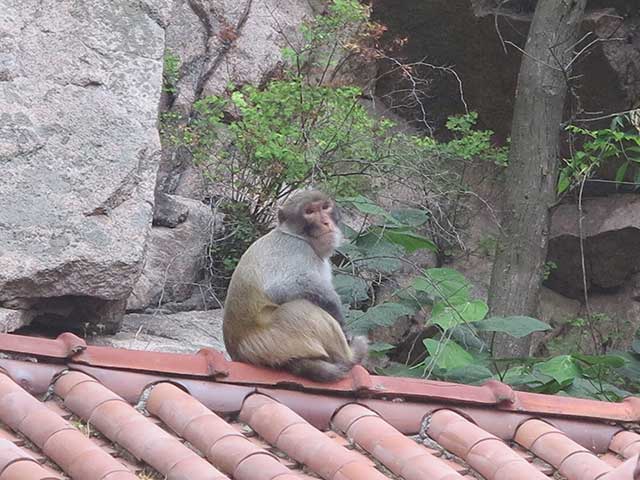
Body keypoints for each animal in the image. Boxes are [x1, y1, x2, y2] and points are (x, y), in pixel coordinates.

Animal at [222, 189, 368, 380]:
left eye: (325, 207)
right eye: (309, 212)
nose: (325, 222)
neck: (295, 235)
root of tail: (241, 353)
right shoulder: (297, 248)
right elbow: (283, 287)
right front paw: (342, 322)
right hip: (276, 339)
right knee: (300, 308)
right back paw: (351, 356)